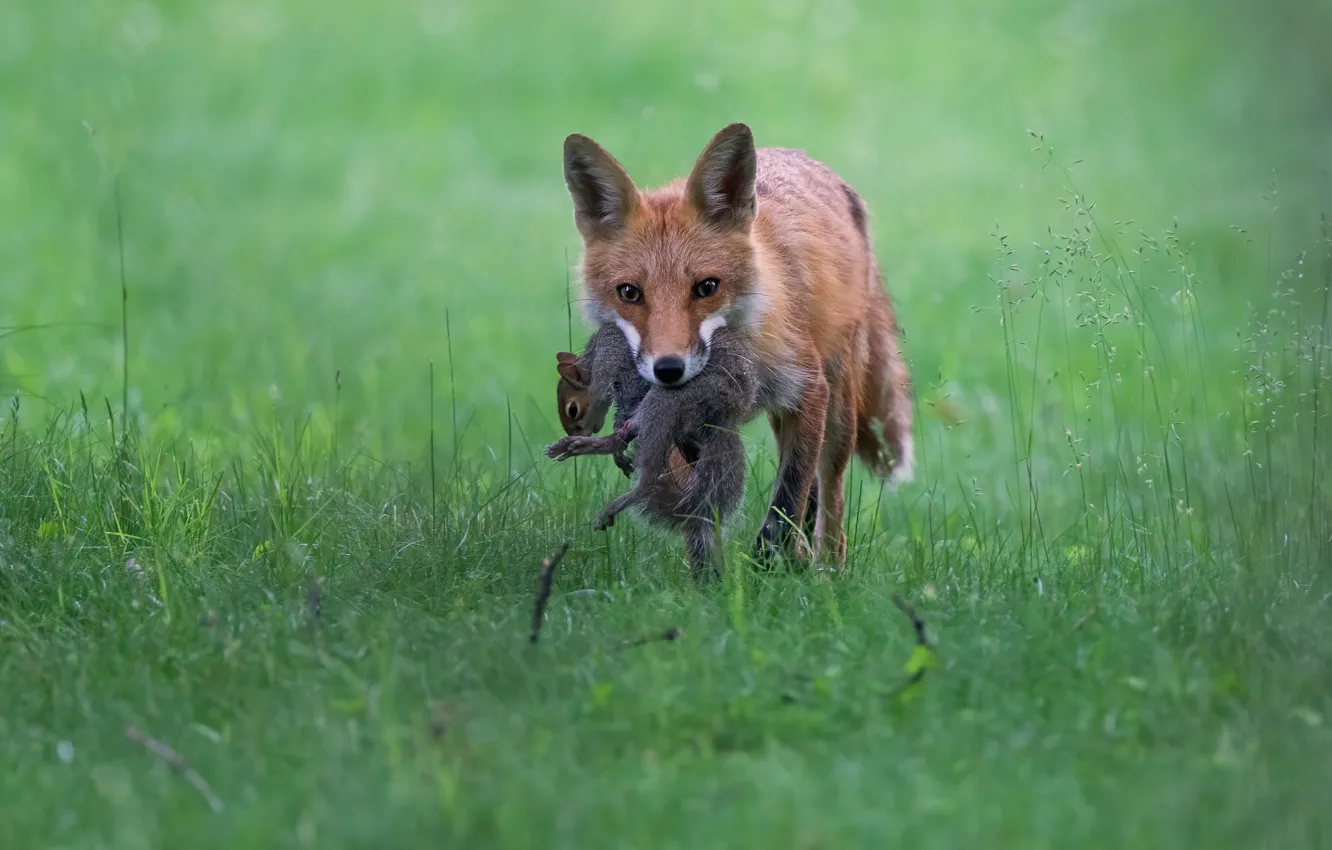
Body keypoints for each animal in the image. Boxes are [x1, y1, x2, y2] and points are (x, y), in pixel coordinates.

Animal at [548, 322, 757, 581]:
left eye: (573, 409)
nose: (583, 430)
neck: (595, 355)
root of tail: (728, 416)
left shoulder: (620, 366)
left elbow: (627, 401)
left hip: (675, 396)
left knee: (646, 471)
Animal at [561, 122, 913, 565]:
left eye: (707, 287)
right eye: (629, 293)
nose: (669, 369)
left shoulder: (807, 389)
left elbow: (785, 504)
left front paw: (767, 564)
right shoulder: (681, 420)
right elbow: (701, 509)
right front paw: (711, 576)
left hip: (837, 406)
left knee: (828, 493)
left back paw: (828, 567)